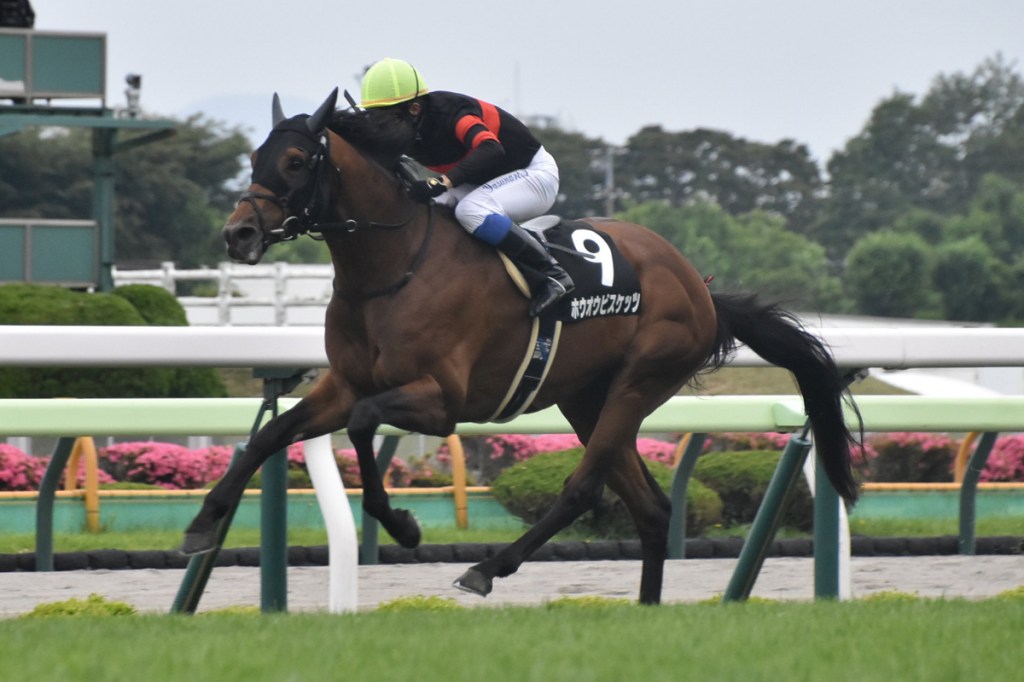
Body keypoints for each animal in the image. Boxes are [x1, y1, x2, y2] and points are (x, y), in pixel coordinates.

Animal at [182, 88, 859, 605]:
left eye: (298, 160)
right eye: (255, 155)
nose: (238, 233)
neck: (393, 267)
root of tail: (700, 286)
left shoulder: (440, 399)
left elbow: (365, 424)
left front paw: (404, 526)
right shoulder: (344, 383)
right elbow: (269, 435)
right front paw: (201, 525)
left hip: (640, 379)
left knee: (584, 488)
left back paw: (486, 569)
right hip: (587, 398)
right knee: (650, 507)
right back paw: (645, 608)